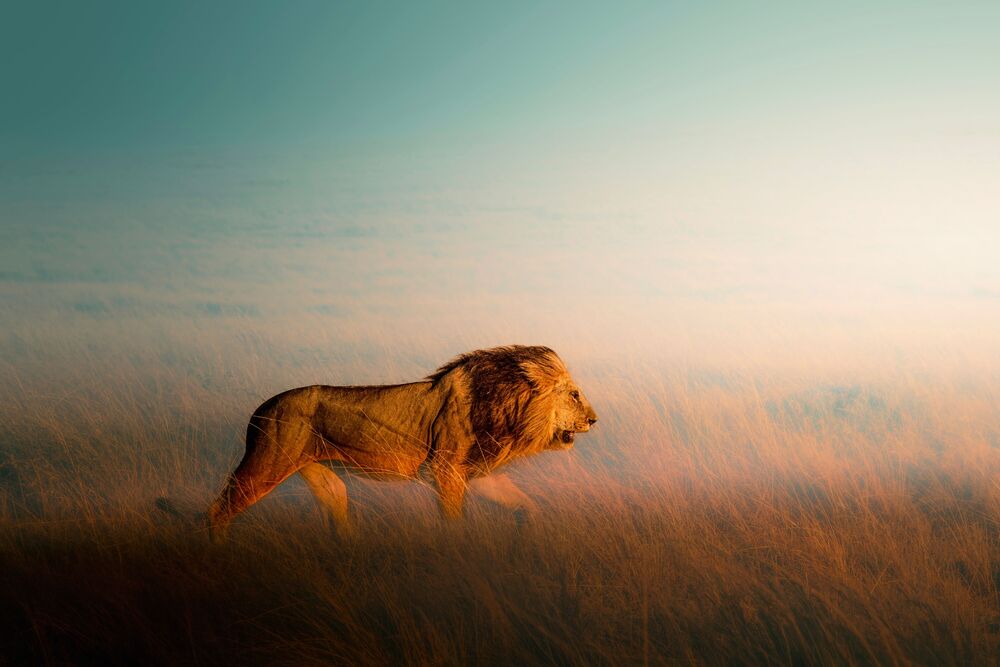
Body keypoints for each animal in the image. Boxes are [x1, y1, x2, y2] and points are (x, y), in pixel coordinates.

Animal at [207, 345, 598, 539]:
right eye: (574, 394)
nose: (594, 419)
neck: (506, 406)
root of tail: (259, 408)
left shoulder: (480, 472)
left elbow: (525, 504)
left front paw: (527, 532)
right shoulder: (445, 470)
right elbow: (453, 520)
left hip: (320, 475)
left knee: (336, 506)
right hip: (268, 463)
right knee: (218, 510)